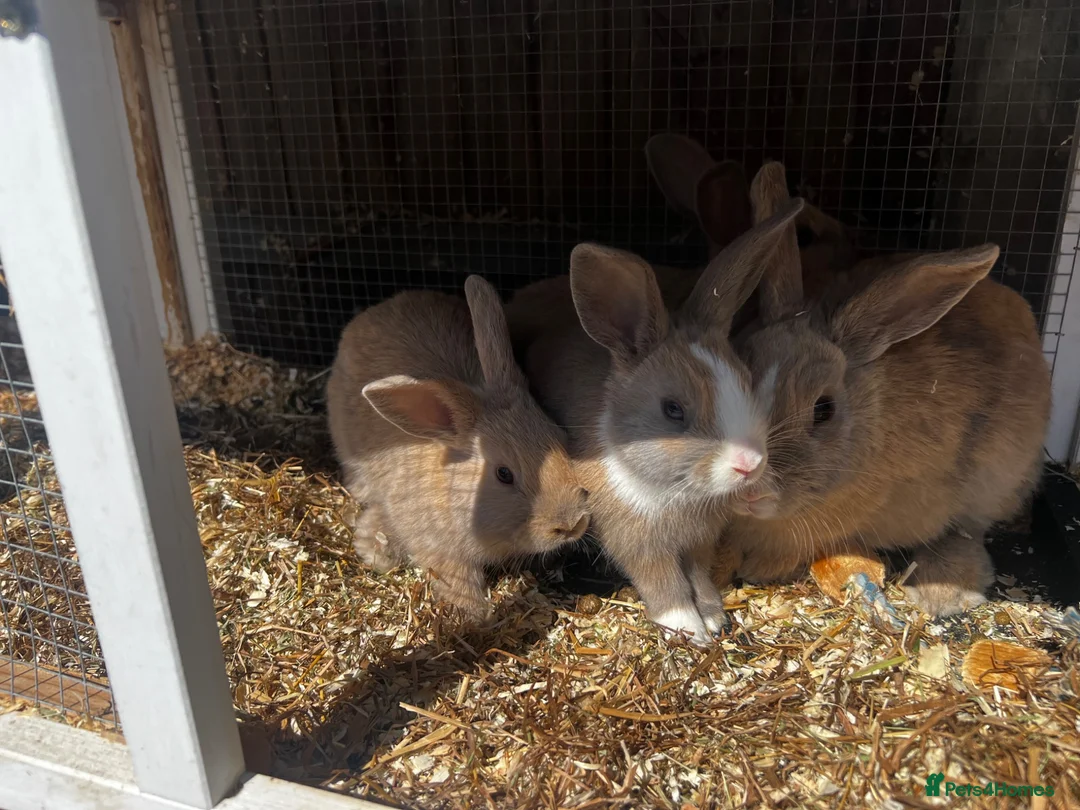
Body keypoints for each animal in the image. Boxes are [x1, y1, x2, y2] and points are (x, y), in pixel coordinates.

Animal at [326, 275, 591, 621]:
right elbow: (457, 581)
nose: (572, 523)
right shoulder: (442, 552)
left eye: (560, 436)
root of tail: (376, 311)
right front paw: (476, 616)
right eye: (503, 474)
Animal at [520, 200, 805, 644]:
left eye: (747, 380)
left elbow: (698, 578)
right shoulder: (638, 544)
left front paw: (713, 617)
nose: (749, 465)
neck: (679, 494)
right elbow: (663, 583)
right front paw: (688, 627)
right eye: (672, 410)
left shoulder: (698, 544)